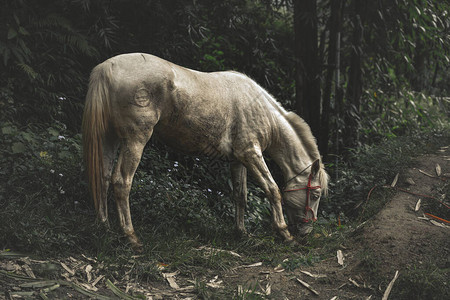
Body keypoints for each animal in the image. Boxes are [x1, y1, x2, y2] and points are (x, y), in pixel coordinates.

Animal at [82, 52, 328, 250]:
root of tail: (107, 69)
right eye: (315, 195)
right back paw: (131, 236)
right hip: (135, 140)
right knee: (121, 182)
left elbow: (240, 195)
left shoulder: (238, 160)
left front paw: (242, 233)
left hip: (110, 139)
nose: (306, 232)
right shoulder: (251, 154)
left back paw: (104, 227)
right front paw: (284, 233)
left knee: (103, 178)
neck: (260, 108)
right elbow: (272, 189)